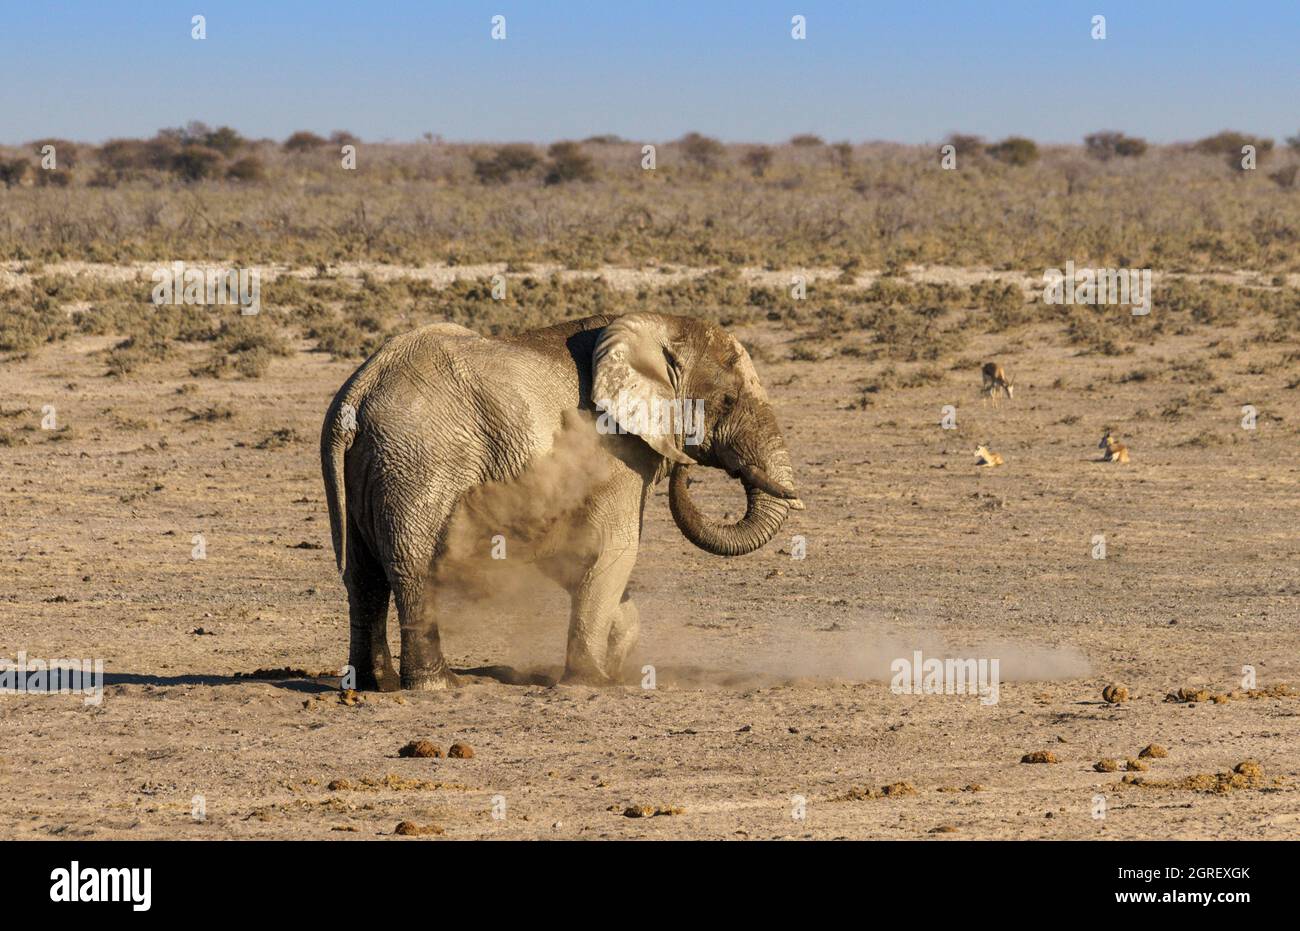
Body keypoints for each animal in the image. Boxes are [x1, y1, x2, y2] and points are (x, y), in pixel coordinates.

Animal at [319, 314, 795, 691]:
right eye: (728, 401)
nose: (688, 465)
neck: (653, 325)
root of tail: (358, 391)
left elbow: (576, 557)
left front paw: (615, 664)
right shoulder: (614, 452)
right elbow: (614, 549)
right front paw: (595, 682)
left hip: (370, 465)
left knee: (362, 575)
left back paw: (375, 684)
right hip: (419, 461)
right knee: (411, 567)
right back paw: (439, 685)